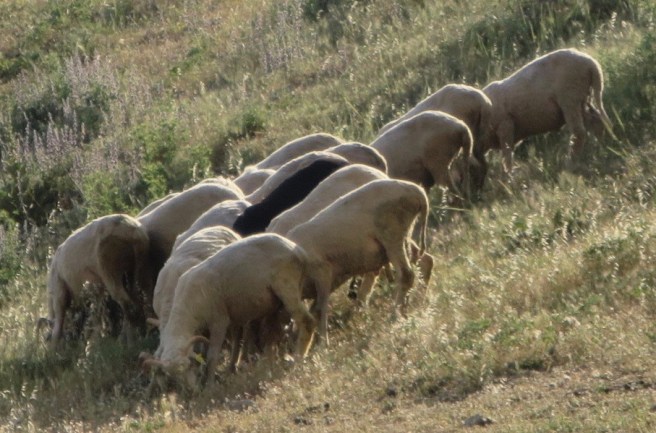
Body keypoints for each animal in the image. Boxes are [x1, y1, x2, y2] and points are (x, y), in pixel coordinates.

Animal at [44, 214, 150, 345]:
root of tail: (132, 230)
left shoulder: (59, 292)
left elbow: (58, 327)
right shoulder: (96, 290)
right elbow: (97, 317)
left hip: (109, 266)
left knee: (127, 303)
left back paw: (131, 341)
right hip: (136, 266)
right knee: (137, 298)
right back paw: (142, 333)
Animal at [143, 233, 317, 389]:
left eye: (188, 365)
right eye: (172, 377)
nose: (191, 392)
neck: (186, 308)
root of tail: (298, 250)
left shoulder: (219, 321)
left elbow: (212, 356)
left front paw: (210, 386)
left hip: (287, 287)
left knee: (306, 321)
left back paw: (298, 360)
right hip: (275, 301)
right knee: (271, 334)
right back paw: (269, 365)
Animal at [286, 178, 428, 343]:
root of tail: (417, 191)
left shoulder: (322, 273)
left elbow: (320, 309)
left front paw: (322, 342)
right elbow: (315, 309)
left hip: (392, 234)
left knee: (406, 275)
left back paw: (394, 316)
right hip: (403, 237)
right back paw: (406, 307)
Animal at [482, 48, 613, 173]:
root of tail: (592, 64)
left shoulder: (505, 125)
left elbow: (507, 154)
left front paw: (508, 175)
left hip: (570, 97)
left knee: (579, 132)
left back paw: (570, 164)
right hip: (582, 99)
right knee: (597, 120)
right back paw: (601, 149)